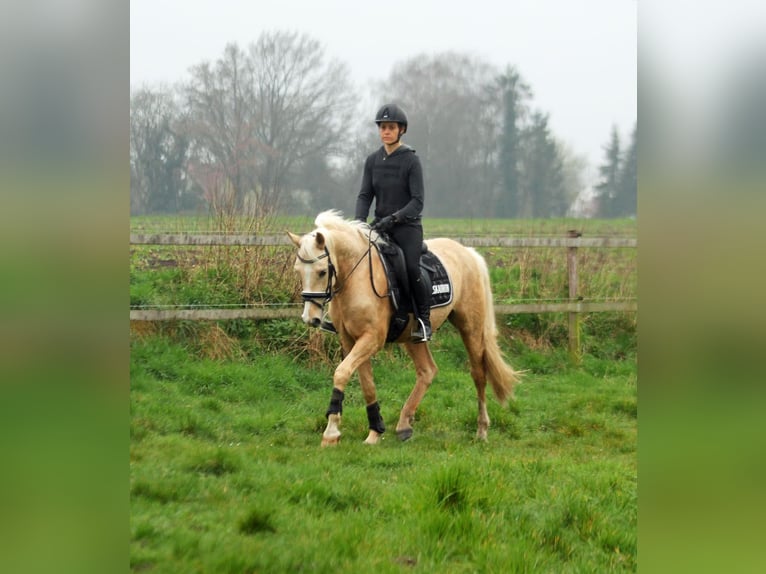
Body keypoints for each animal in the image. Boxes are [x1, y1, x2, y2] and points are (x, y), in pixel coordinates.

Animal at [288, 213, 520, 450]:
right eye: (297, 271)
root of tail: (468, 253)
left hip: (470, 327)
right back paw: (404, 425)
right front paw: (375, 431)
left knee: (478, 373)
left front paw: (331, 432)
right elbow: (367, 384)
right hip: (411, 336)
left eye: (322, 271)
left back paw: (481, 430)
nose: (310, 318)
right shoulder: (350, 340)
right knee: (427, 371)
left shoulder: (372, 339)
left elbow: (342, 372)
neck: (356, 277)